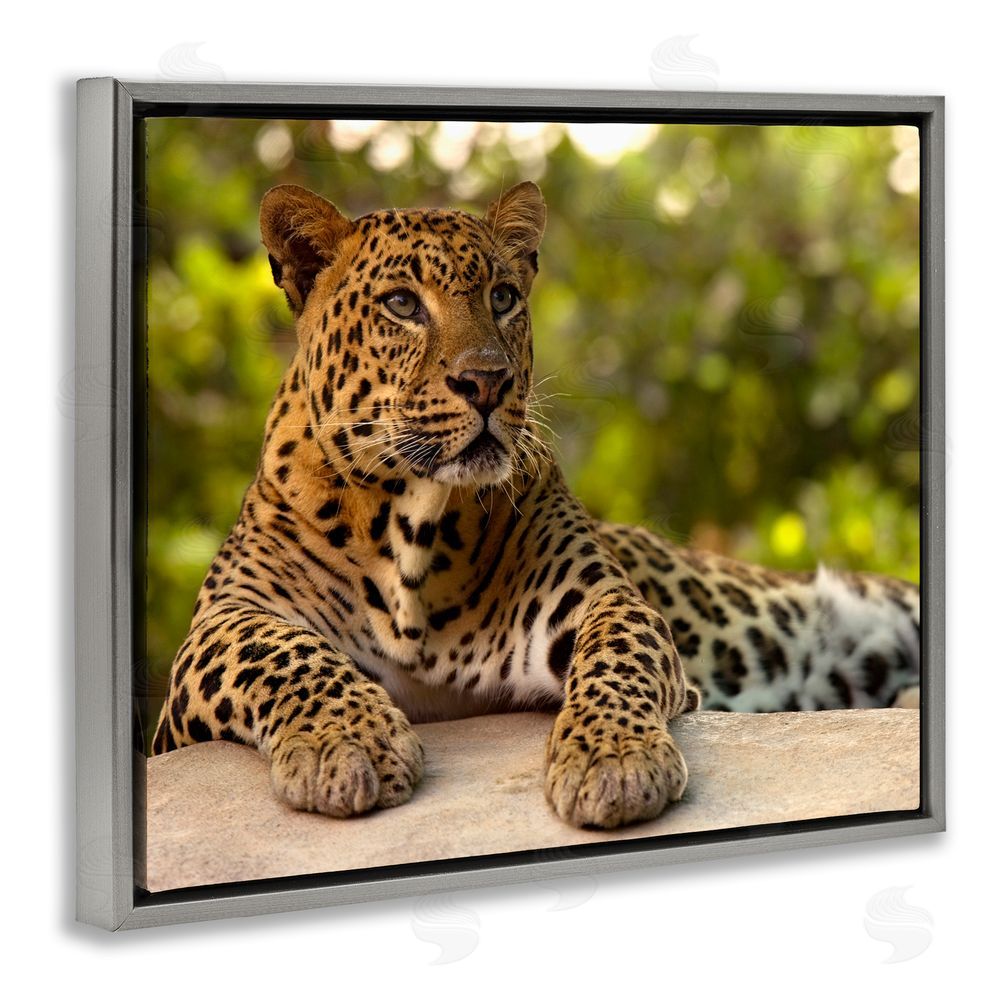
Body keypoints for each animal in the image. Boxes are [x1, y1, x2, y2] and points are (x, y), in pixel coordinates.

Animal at [152, 181, 920, 830]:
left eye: (502, 297)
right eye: (402, 305)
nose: (487, 382)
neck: (411, 523)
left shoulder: (596, 598)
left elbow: (618, 652)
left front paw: (614, 760)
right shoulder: (213, 635)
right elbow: (281, 651)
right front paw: (348, 743)